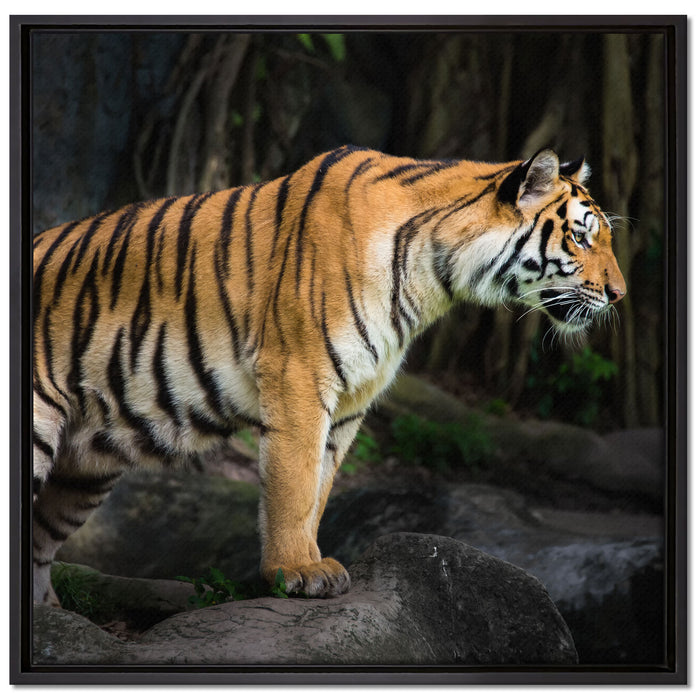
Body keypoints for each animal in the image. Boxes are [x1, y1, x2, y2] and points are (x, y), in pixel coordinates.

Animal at [32, 145, 626, 605]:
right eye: (580, 238)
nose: (619, 295)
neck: (434, 277)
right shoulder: (298, 374)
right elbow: (294, 482)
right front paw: (296, 571)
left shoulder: (351, 400)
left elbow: (319, 489)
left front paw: (313, 562)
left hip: (83, 471)